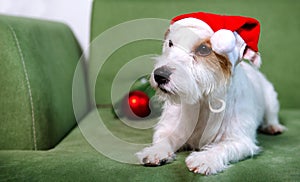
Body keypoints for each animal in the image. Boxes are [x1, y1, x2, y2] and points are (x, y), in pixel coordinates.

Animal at [136, 12, 286, 175]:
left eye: (203, 49)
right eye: (170, 43)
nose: (159, 75)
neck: (202, 102)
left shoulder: (240, 140)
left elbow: (222, 147)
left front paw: (205, 158)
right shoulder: (170, 128)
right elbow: (165, 139)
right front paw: (155, 151)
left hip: (271, 99)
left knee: (271, 115)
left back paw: (273, 126)